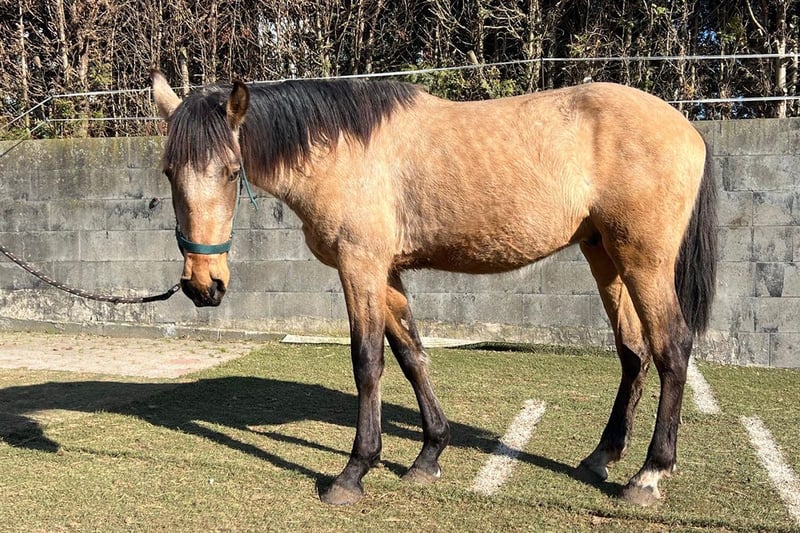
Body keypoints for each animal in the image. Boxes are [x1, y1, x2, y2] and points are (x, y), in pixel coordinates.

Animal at [151, 70, 717, 507]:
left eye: (231, 172)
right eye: (169, 171)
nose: (202, 285)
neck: (345, 152)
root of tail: (688, 128)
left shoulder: (360, 267)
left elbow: (368, 361)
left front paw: (354, 472)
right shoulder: (387, 273)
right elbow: (411, 355)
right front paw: (430, 455)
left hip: (644, 261)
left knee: (671, 347)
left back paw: (648, 475)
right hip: (605, 256)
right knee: (633, 353)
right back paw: (603, 456)